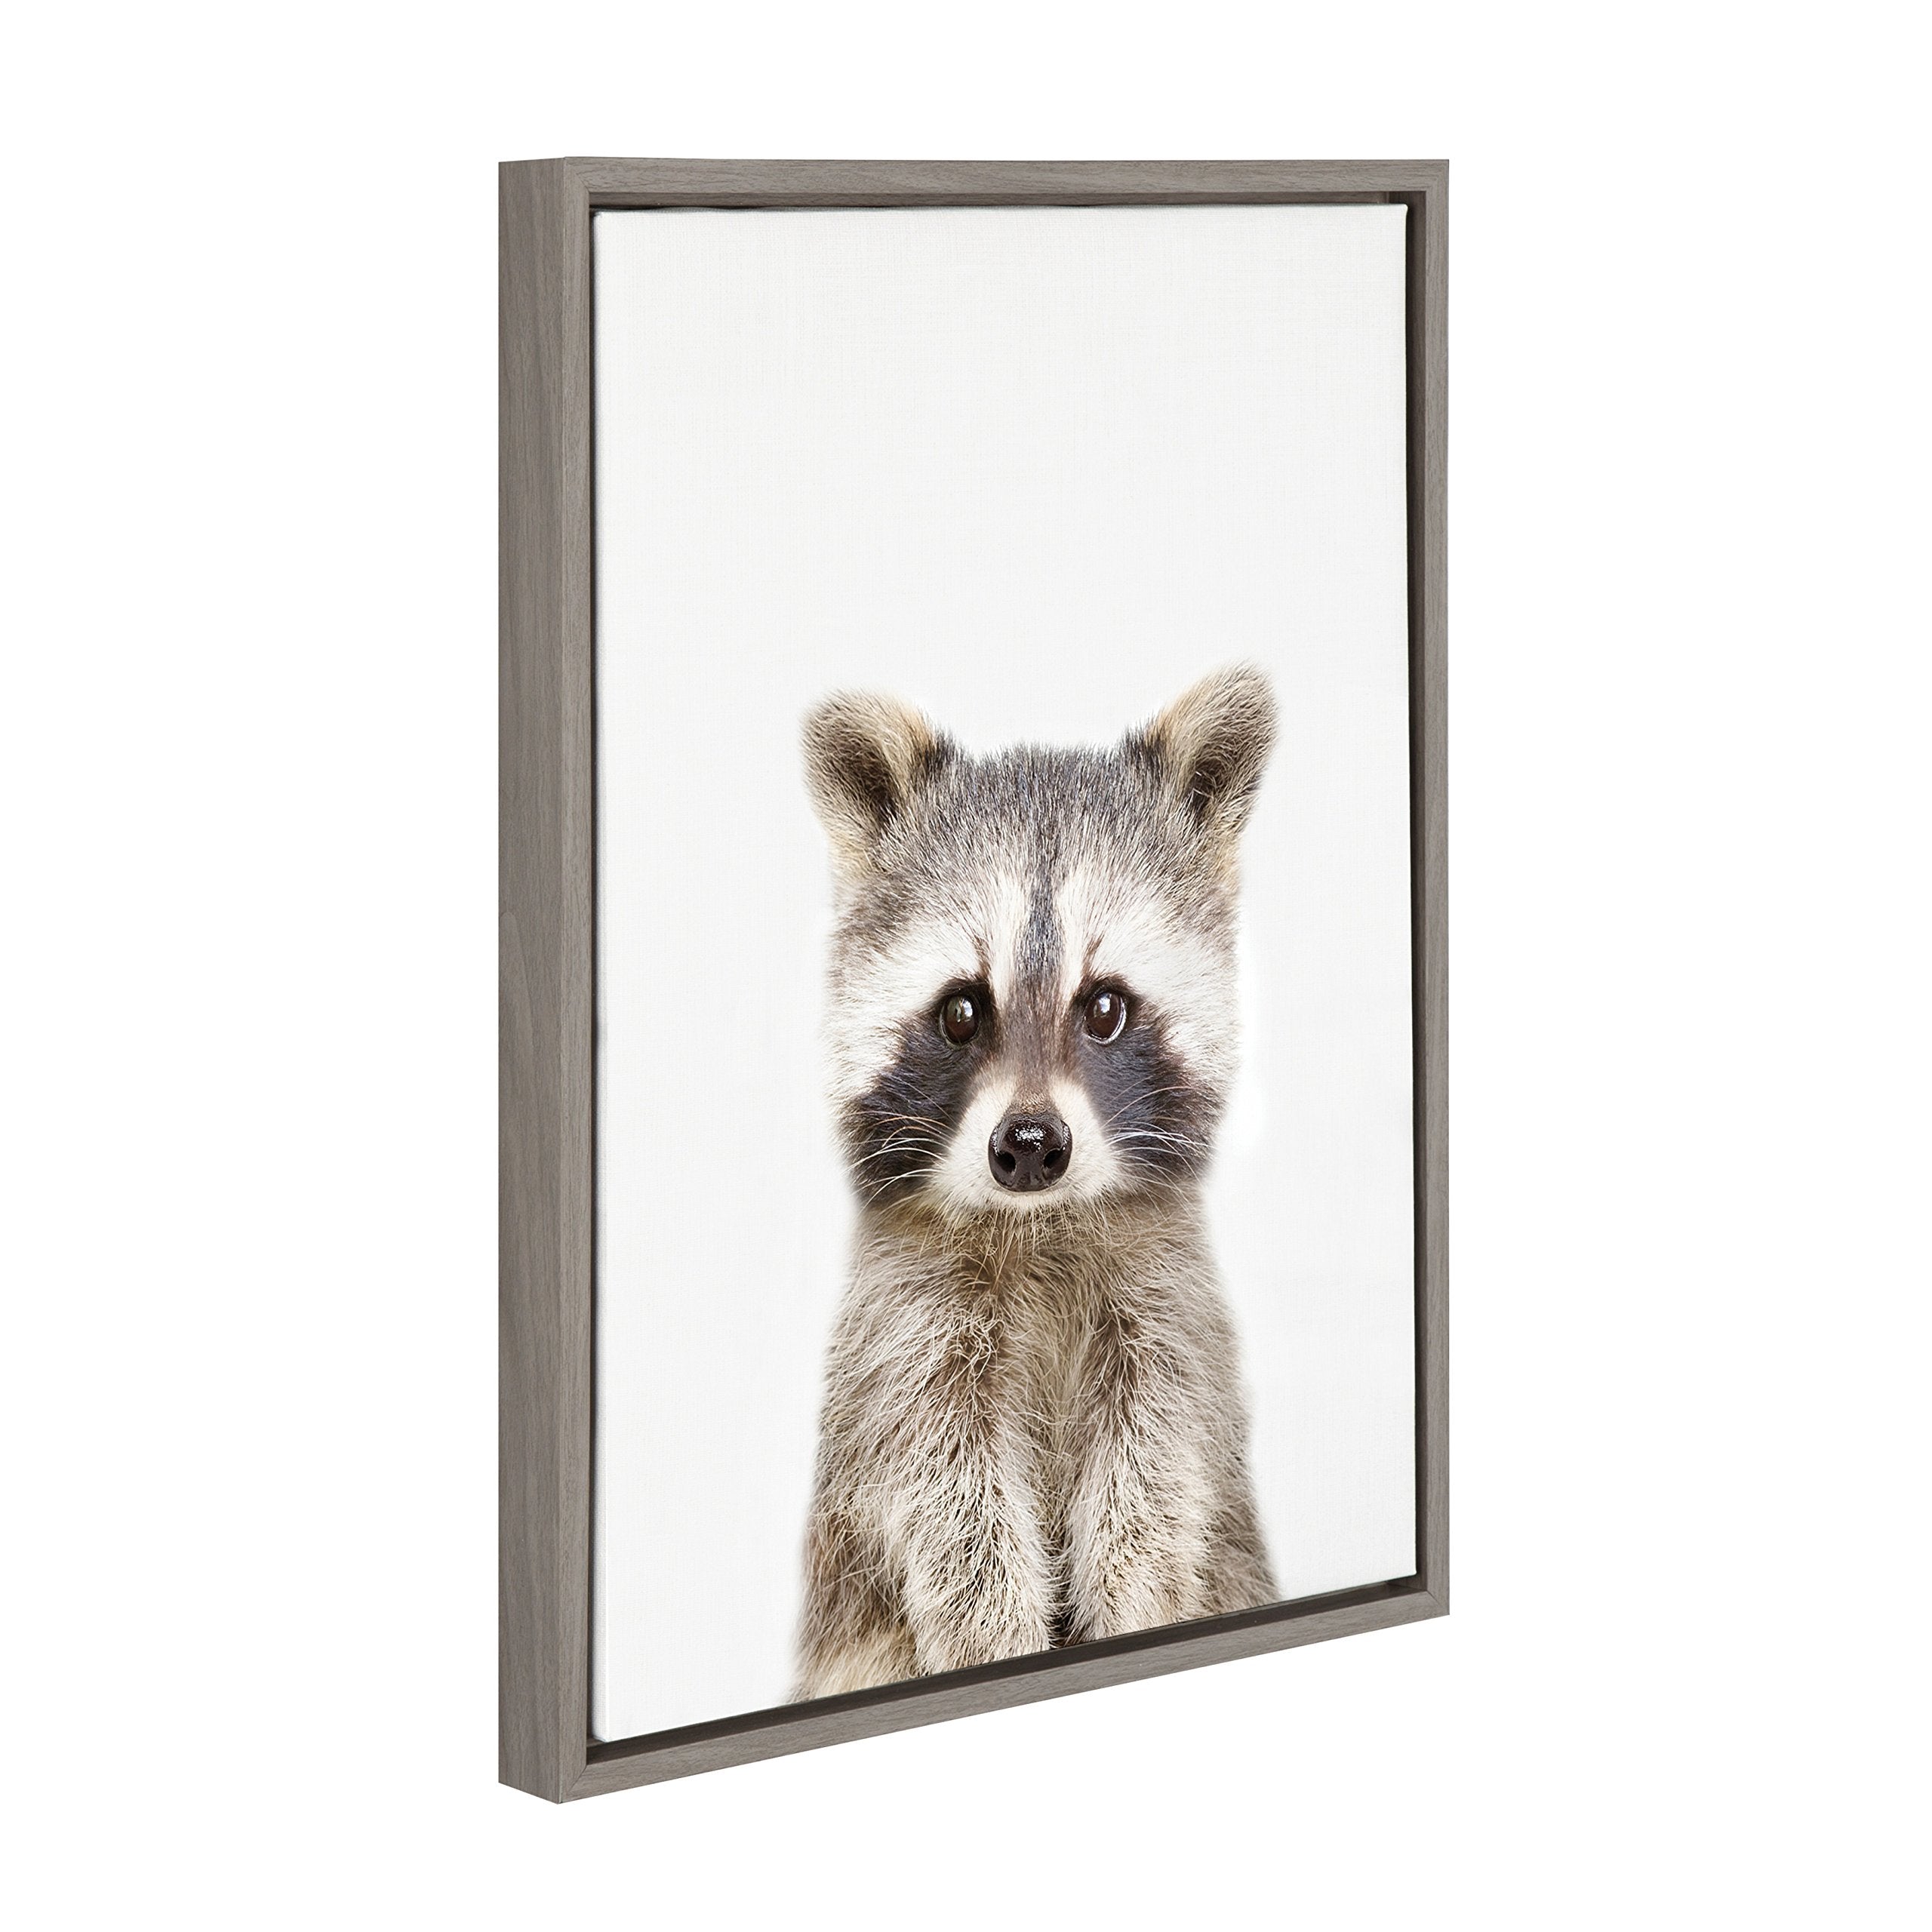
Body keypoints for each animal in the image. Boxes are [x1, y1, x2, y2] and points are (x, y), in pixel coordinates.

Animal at [792, 665, 1279, 1700]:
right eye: (960, 1011)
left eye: (1104, 1007)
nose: (1027, 1146)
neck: (1041, 1222)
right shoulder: (905, 1334)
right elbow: (951, 1506)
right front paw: (993, 1639)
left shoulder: (1166, 1312)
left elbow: (1154, 1484)